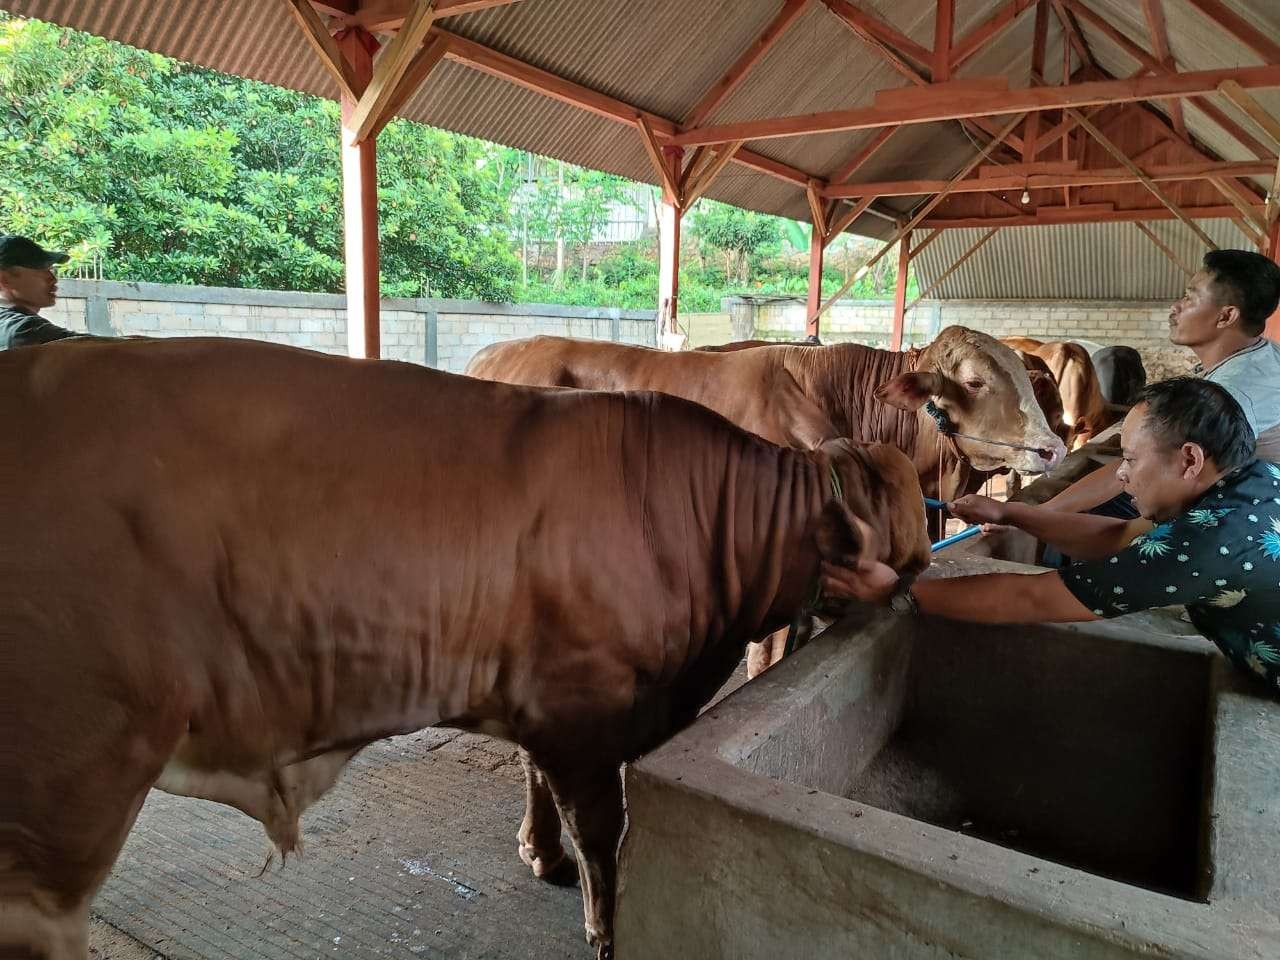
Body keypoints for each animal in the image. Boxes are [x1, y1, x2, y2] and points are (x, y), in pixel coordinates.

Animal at [5, 335, 936, 960]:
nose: (924, 573)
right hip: (65, 799)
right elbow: (605, 833)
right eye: (905, 538)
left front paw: (541, 853)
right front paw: (605, 927)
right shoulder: (580, 707)